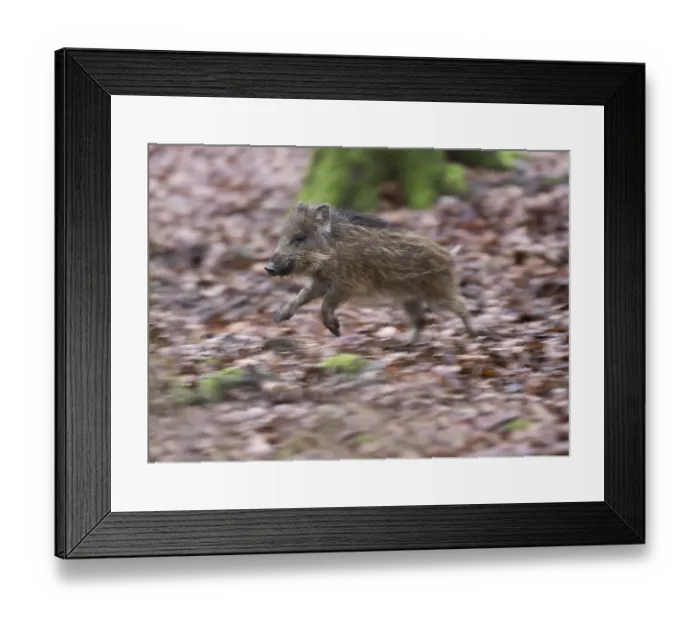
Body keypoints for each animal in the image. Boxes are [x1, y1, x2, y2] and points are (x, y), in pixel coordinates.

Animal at [264, 201, 477, 346]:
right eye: (282, 237)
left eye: (300, 237)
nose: (269, 268)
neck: (329, 252)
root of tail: (450, 255)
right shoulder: (321, 282)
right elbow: (301, 296)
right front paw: (278, 317)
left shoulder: (347, 284)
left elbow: (325, 303)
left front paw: (336, 332)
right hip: (410, 299)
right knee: (422, 320)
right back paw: (406, 344)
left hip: (437, 291)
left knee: (460, 305)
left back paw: (475, 333)